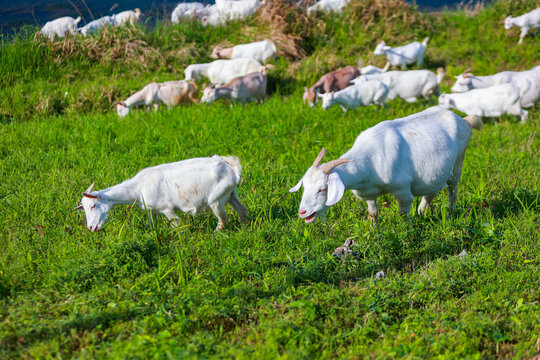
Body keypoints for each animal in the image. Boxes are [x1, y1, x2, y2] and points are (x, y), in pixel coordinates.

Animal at [75, 156, 249, 232]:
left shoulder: (167, 208)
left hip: (216, 199)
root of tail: (231, 165)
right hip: (231, 193)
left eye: (94, 205)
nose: (91, 228)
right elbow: (149, 225)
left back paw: (215, 235)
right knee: (242, 210)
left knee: (223, 219)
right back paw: (245, 229)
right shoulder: (152, 210)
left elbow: (177, 224)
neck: (137, 188)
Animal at [288, 106, 478, 225]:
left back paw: (450, 214)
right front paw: (374, 231)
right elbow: (373, 213)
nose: (302, 212)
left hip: (457, 166)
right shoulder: (368, 193)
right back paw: (421, 213)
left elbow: (403, 214)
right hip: (432, 175)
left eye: (322, 189)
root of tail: (463, 120)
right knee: (430, 193)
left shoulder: (403, 191)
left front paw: (407, 232)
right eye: (304, 187)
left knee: (452, 192)